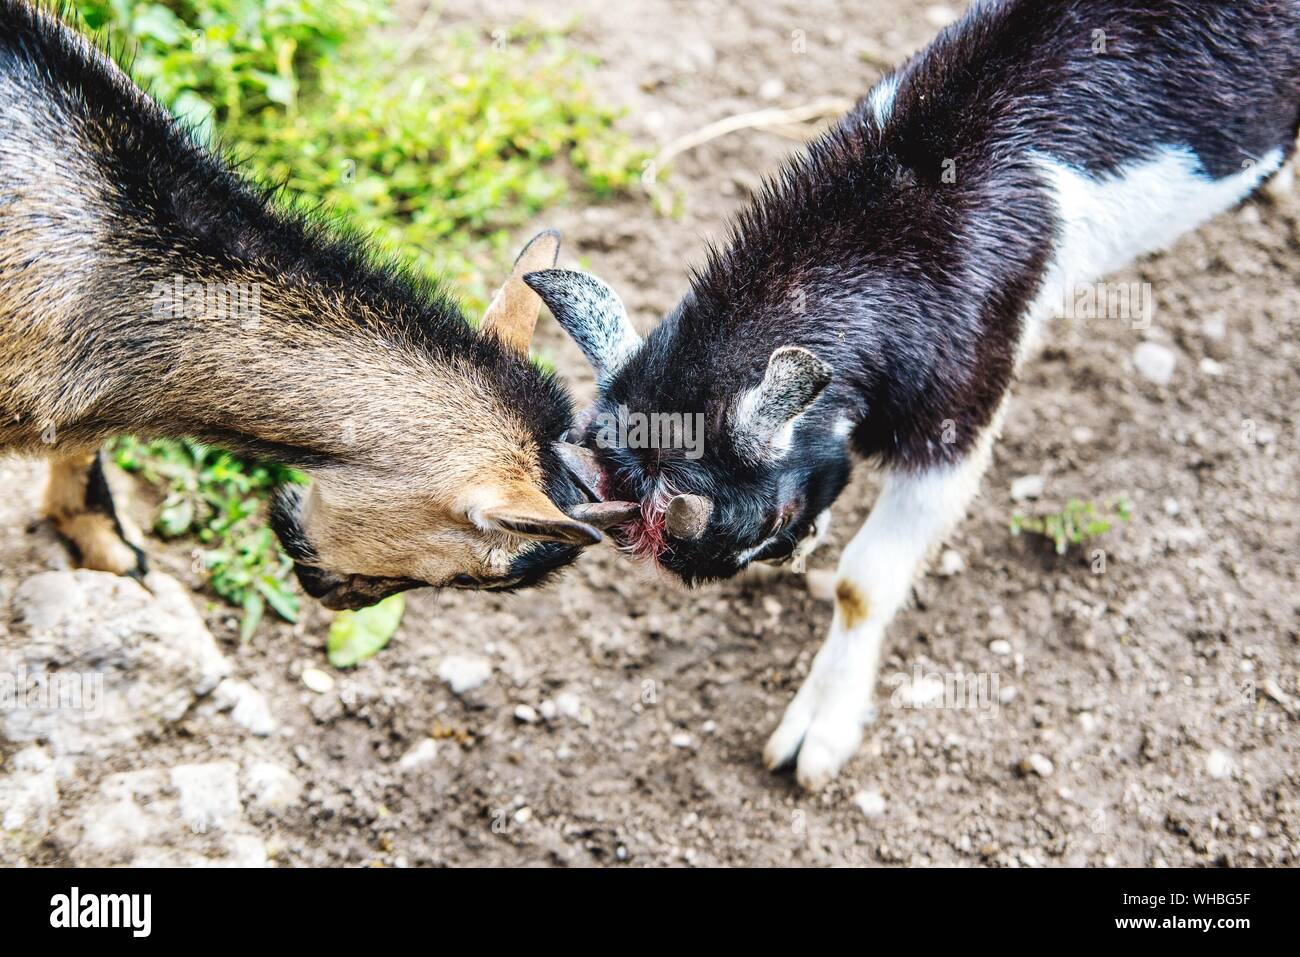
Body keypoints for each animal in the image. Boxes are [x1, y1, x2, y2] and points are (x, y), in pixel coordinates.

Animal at [527, 0, 1300, 787]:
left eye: (768, 519)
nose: (790, 552)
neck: (895, 224)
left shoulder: (960, 400)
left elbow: (864, 583)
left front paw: (818, 732)